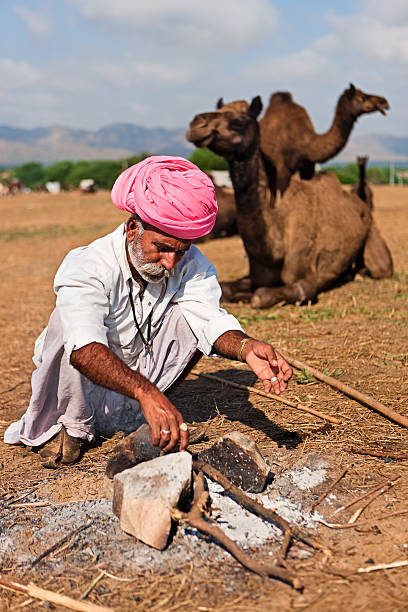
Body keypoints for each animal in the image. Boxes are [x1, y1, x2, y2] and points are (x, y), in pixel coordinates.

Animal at [186, 98, 388, 308]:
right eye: (219, 109)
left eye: (239, 119)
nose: (197, 124)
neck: (277, 246)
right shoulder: (255, 276)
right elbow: (225, 289)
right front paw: (238, 295)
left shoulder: (306, 278)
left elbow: (262, 295)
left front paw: (250, 297)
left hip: (374, 241)